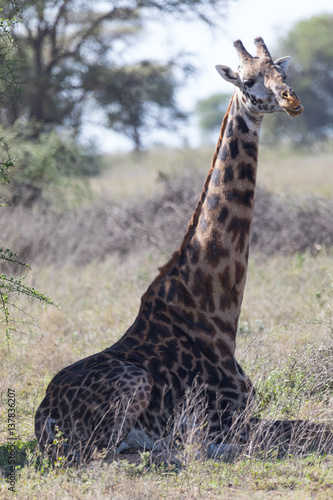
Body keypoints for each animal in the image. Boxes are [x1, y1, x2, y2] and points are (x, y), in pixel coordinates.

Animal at [35, 38, 330, 460]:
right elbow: (314, 434)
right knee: (107, 456)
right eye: (248, 80)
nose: (293, 100)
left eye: (283, 72)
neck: (215, 309)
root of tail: (43, 415)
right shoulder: (227, 422)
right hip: (130, 393)